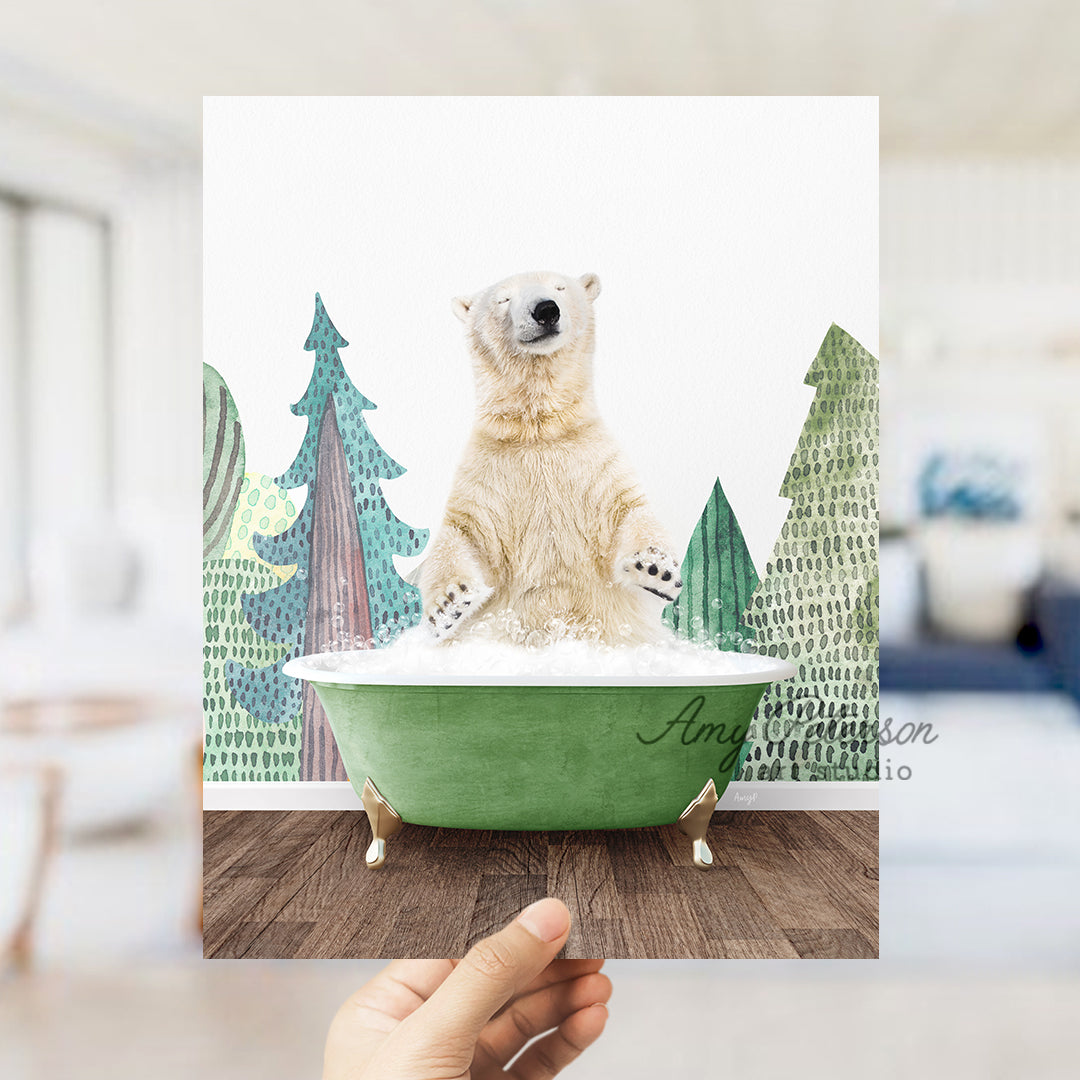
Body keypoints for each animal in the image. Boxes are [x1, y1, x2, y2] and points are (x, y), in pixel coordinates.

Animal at [416, 270, 678, 643]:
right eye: (503, 298)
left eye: (560, 287)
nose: (545, 310)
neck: (538, 427)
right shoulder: (488, 473)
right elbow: (463, 533)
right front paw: (449, 604)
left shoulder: (594, 460)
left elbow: (628, 511)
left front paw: (655, 568)